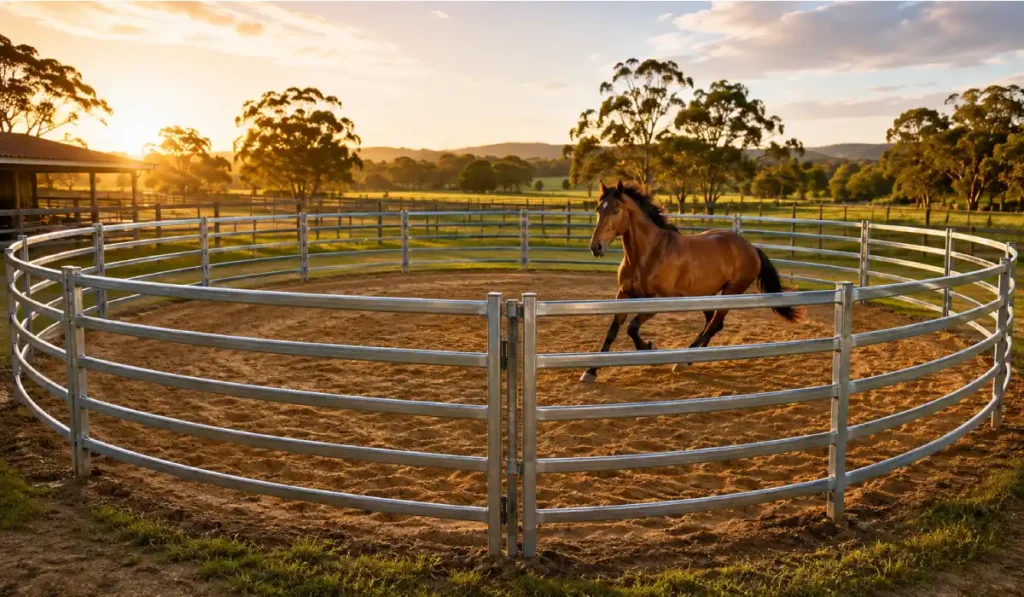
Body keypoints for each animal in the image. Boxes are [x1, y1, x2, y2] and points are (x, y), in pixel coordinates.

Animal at [580, 181, 803, 383]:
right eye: (598, 209)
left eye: (616, 210)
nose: (596, 247)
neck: (649, 253)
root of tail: (751, 248)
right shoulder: (624, 294)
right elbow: (613, 331)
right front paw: (590, 372)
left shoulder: (657, 301)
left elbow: (632, 328)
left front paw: (649, 347)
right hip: (706, 295)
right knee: (711, 322)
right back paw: (694, 355)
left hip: (731, 291)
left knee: (715, 324)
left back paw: (683, 361)